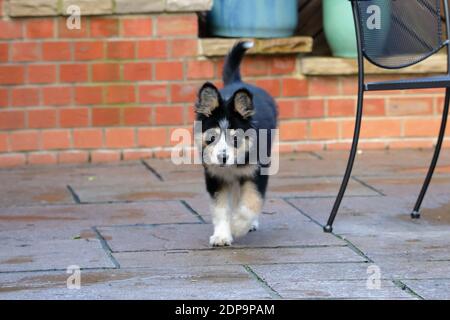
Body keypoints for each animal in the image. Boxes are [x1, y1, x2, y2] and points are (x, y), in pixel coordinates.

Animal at [194, 42, 278, 248]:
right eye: (212, 137)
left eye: (236, 138)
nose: (222, 158)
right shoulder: (215, 176)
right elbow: (220, 208)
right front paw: (222, 236)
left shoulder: (256, 172)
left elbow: (252, 201)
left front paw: (238, 226)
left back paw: (250, 224)